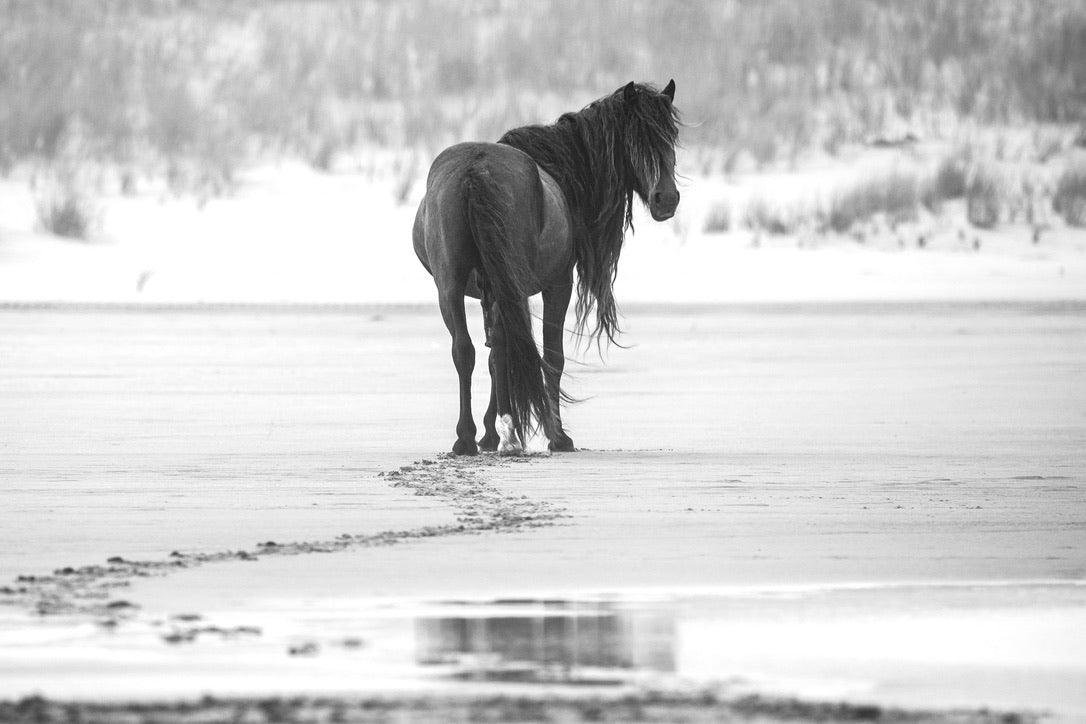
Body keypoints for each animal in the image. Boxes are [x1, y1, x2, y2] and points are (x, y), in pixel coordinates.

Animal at [412, 79, 677, 453]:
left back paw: (466, 437)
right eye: (634, 138)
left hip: (451, 286)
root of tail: (475, 171)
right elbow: (551, 356)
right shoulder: (557, 284)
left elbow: (497, 354)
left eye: (671, 134)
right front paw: (556, 435)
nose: (666, 198)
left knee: (464, 350)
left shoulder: (493, 293)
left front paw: (492, 432)